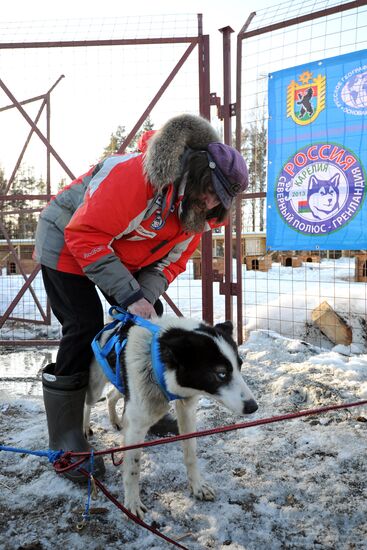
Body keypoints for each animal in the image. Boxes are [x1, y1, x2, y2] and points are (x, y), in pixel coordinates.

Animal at [85, 316, 258, 520]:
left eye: (240, 366)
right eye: (221, 373)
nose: (253, 407)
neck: (158, 364)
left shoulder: (186, 410)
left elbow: (190, 454)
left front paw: (197, 486)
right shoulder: (136, 426)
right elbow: (133, 469)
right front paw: (133, 502)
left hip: (122, 387)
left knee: (111, 396)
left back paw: (115, 420)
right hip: (96, 387)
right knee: (88, 403)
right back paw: (84, 430)